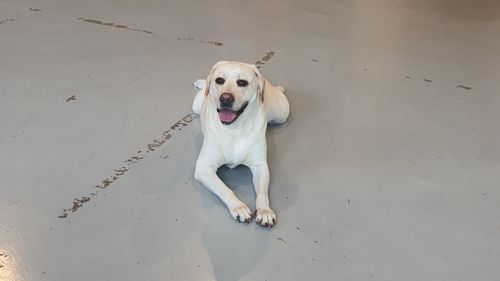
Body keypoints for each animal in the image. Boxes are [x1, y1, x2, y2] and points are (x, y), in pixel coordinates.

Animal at [191, 60, 290, 225]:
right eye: (220, 80)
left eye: (242, 82)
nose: (225, 98)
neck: (234, 129)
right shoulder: (203, 167)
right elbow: (223, 188)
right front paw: (238, 207)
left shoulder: (260, 166)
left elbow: (262, 193)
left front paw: (264, 210)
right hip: (196, 105)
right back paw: (202, 83)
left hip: (282, 113)